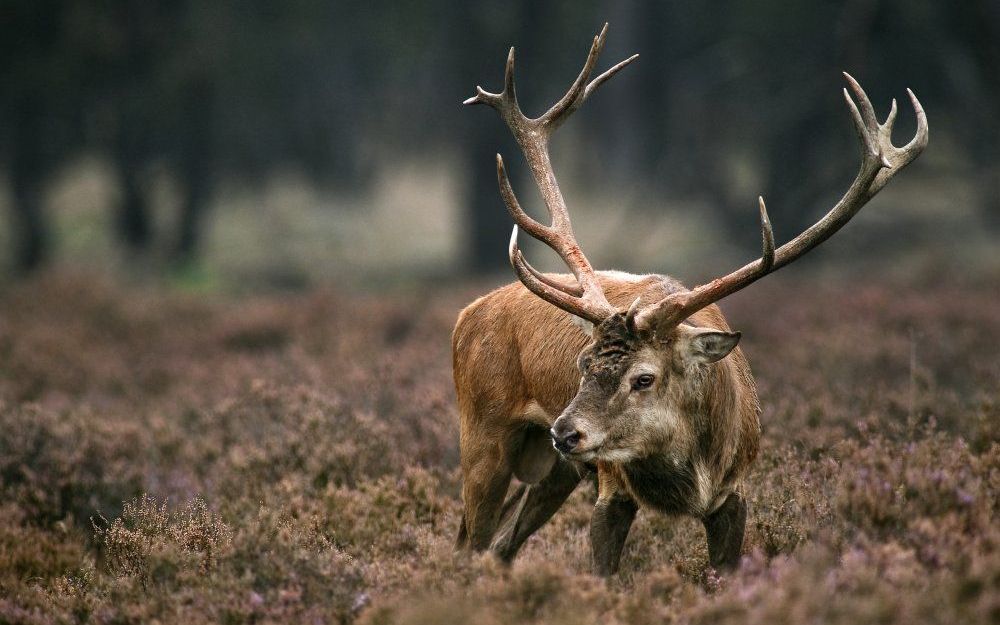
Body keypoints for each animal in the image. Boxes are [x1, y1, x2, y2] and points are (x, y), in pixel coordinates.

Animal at [454, 22, 928, 572]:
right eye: (583, 364)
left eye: (644, 378)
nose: (565, 432)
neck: (690, 476)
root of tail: (465, 314)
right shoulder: (611, 487)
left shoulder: (735, 492)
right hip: (485, 434)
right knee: (471, 541)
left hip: (554, 468)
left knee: (502, 545)